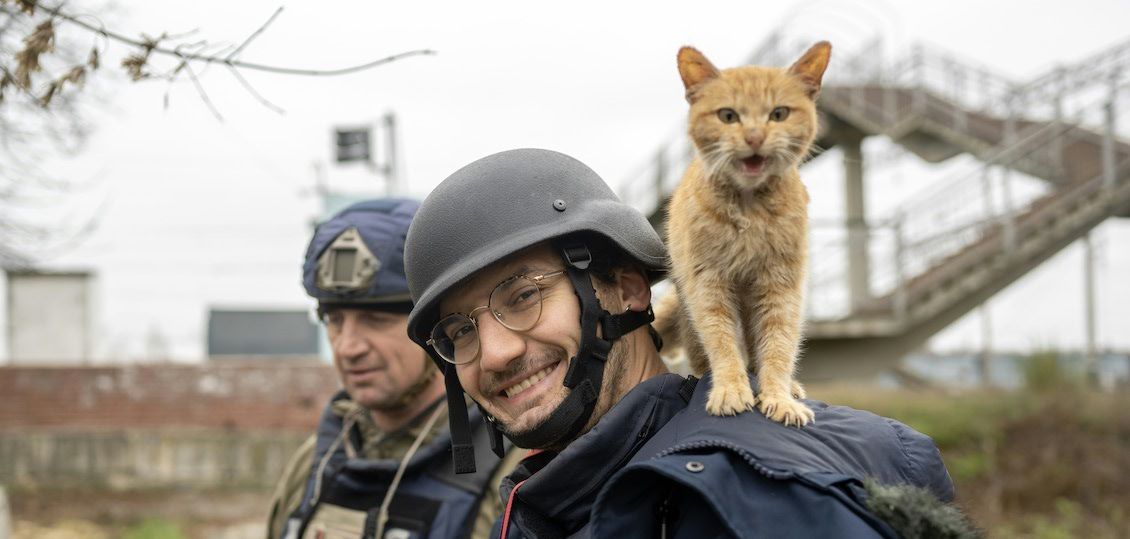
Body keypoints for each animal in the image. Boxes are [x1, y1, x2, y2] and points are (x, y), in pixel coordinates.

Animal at [659, 39, 831, 422]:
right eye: (728, 116)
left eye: (779, 114)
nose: (754, 137)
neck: (750, 210)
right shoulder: (708, 285)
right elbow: (722, 342)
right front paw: (730, 389)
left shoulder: (781, 286)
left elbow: (779, 345)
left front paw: (779, 396)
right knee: (702, 356)